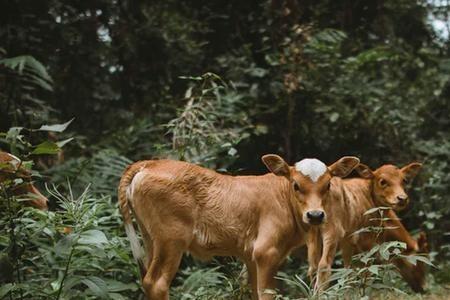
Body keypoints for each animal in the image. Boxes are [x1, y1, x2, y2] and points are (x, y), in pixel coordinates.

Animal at [118, 156, 360, 298]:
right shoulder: (266, 253)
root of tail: (149, 163)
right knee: (157, 283)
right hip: (171, 240)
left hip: (151, 239)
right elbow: (266, 294)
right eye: (296, 185)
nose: (315, 215)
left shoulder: (251, 258)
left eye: (327, 185)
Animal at [306, 163, 426, 292]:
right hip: (332, 231)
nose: (402, 198)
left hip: (312, 234)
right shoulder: (365, 241)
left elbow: (349, 270)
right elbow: (362, 270)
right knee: (323, 265)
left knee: (312, 267)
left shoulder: (349, 241)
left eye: (404, 180)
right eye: (382, 181)